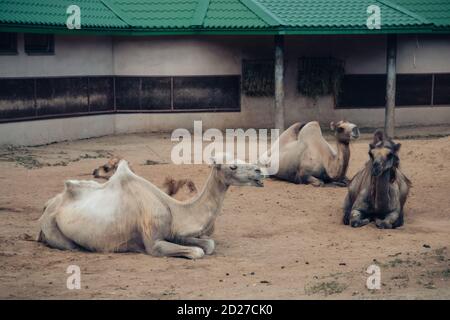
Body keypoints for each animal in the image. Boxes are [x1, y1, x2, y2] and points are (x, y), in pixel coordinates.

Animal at [38, 156, 266, 258]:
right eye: (232, 166)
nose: (259, 171)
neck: (176, 209)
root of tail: (48, 205)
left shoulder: (175, 232)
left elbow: (208, 245)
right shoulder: (153, 244)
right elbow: (197, 252)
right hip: (53, 229)